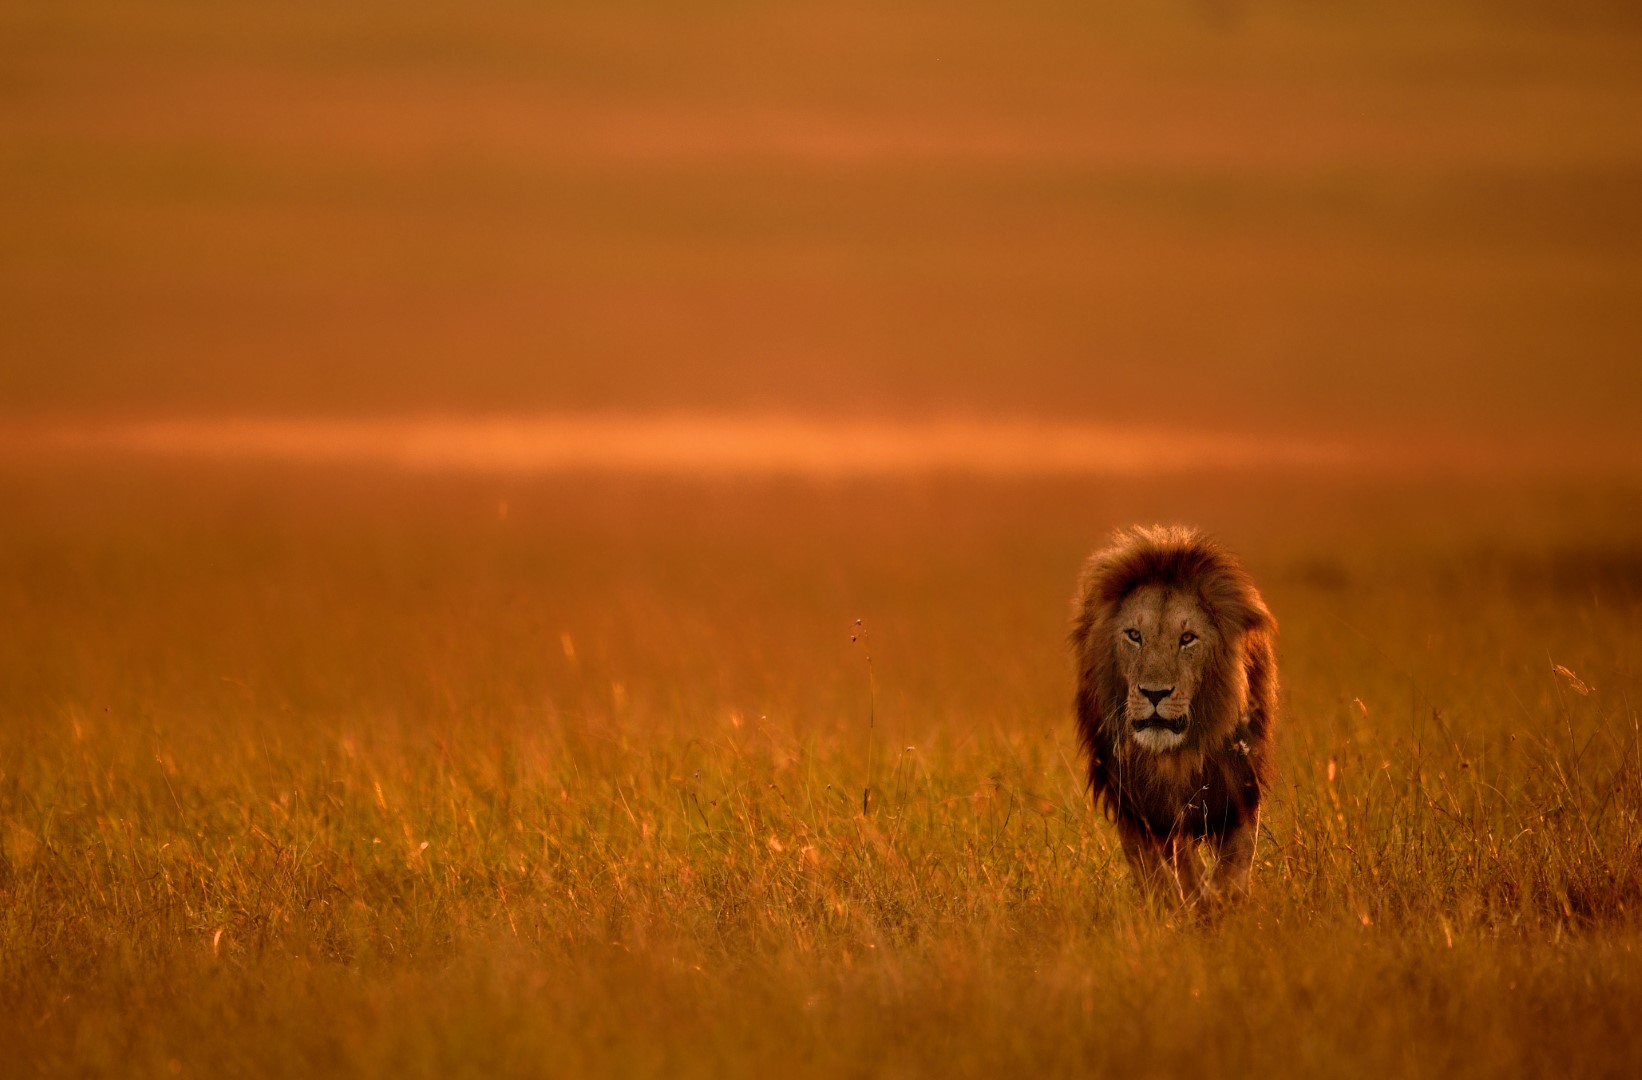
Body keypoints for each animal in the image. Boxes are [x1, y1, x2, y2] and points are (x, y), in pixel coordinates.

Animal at [1070, 525, 1277, 909]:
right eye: (1134, 635)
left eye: (1188, 639)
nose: (1154, 694)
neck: (1175, 757)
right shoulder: (1134, 804)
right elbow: (1158, 868)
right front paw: (1175, 906)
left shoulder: (1238, 787)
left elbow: (1234, 863)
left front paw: (1221, 904)